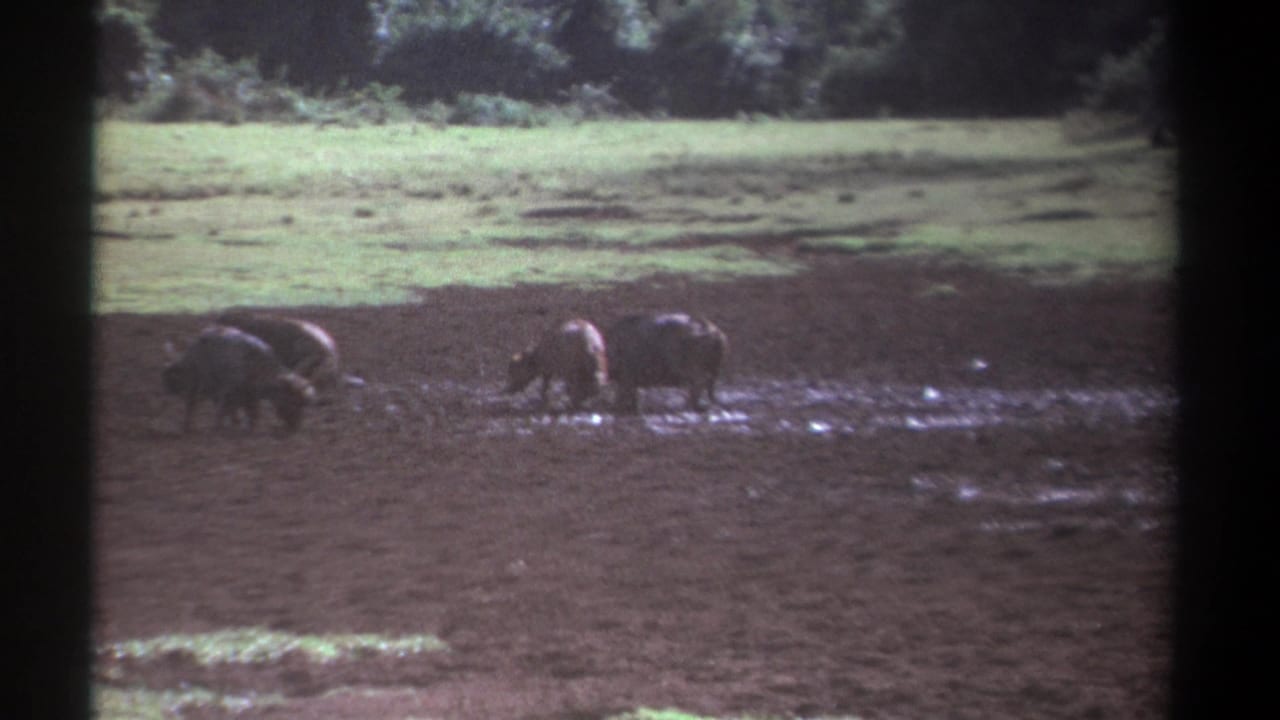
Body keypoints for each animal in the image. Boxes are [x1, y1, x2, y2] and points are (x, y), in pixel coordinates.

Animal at [163, 325, 317, 433]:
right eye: (292, 401)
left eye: (302, 403)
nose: (295, 427)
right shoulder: (229, 390)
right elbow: (224, 410)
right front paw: (218, 428)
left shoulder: (249, 395)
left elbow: (252, 413)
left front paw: (247, 427)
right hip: (196, 383)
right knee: (191, 403)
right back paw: (188, 427)